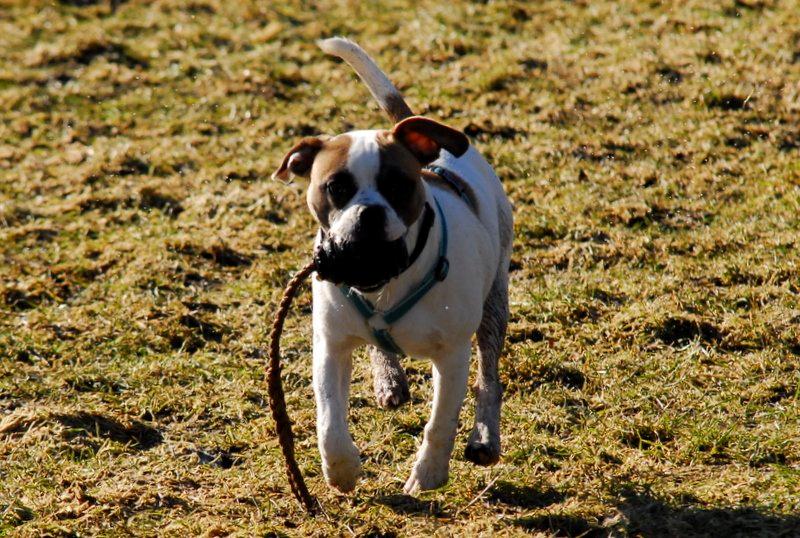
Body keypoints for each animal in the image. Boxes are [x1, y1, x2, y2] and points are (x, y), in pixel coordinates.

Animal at [274, 36, 512, 490]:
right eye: (336, 187)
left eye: (397, 185)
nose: (369, 212)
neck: (385, 279)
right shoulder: (330, 345)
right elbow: (329, 421)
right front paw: (341, 469)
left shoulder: (452, 355)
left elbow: (441, 421)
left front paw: (429, 473)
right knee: (378, 348)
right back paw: (389, 378)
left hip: (495, 300)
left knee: (489, 378)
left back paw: (484, 438)